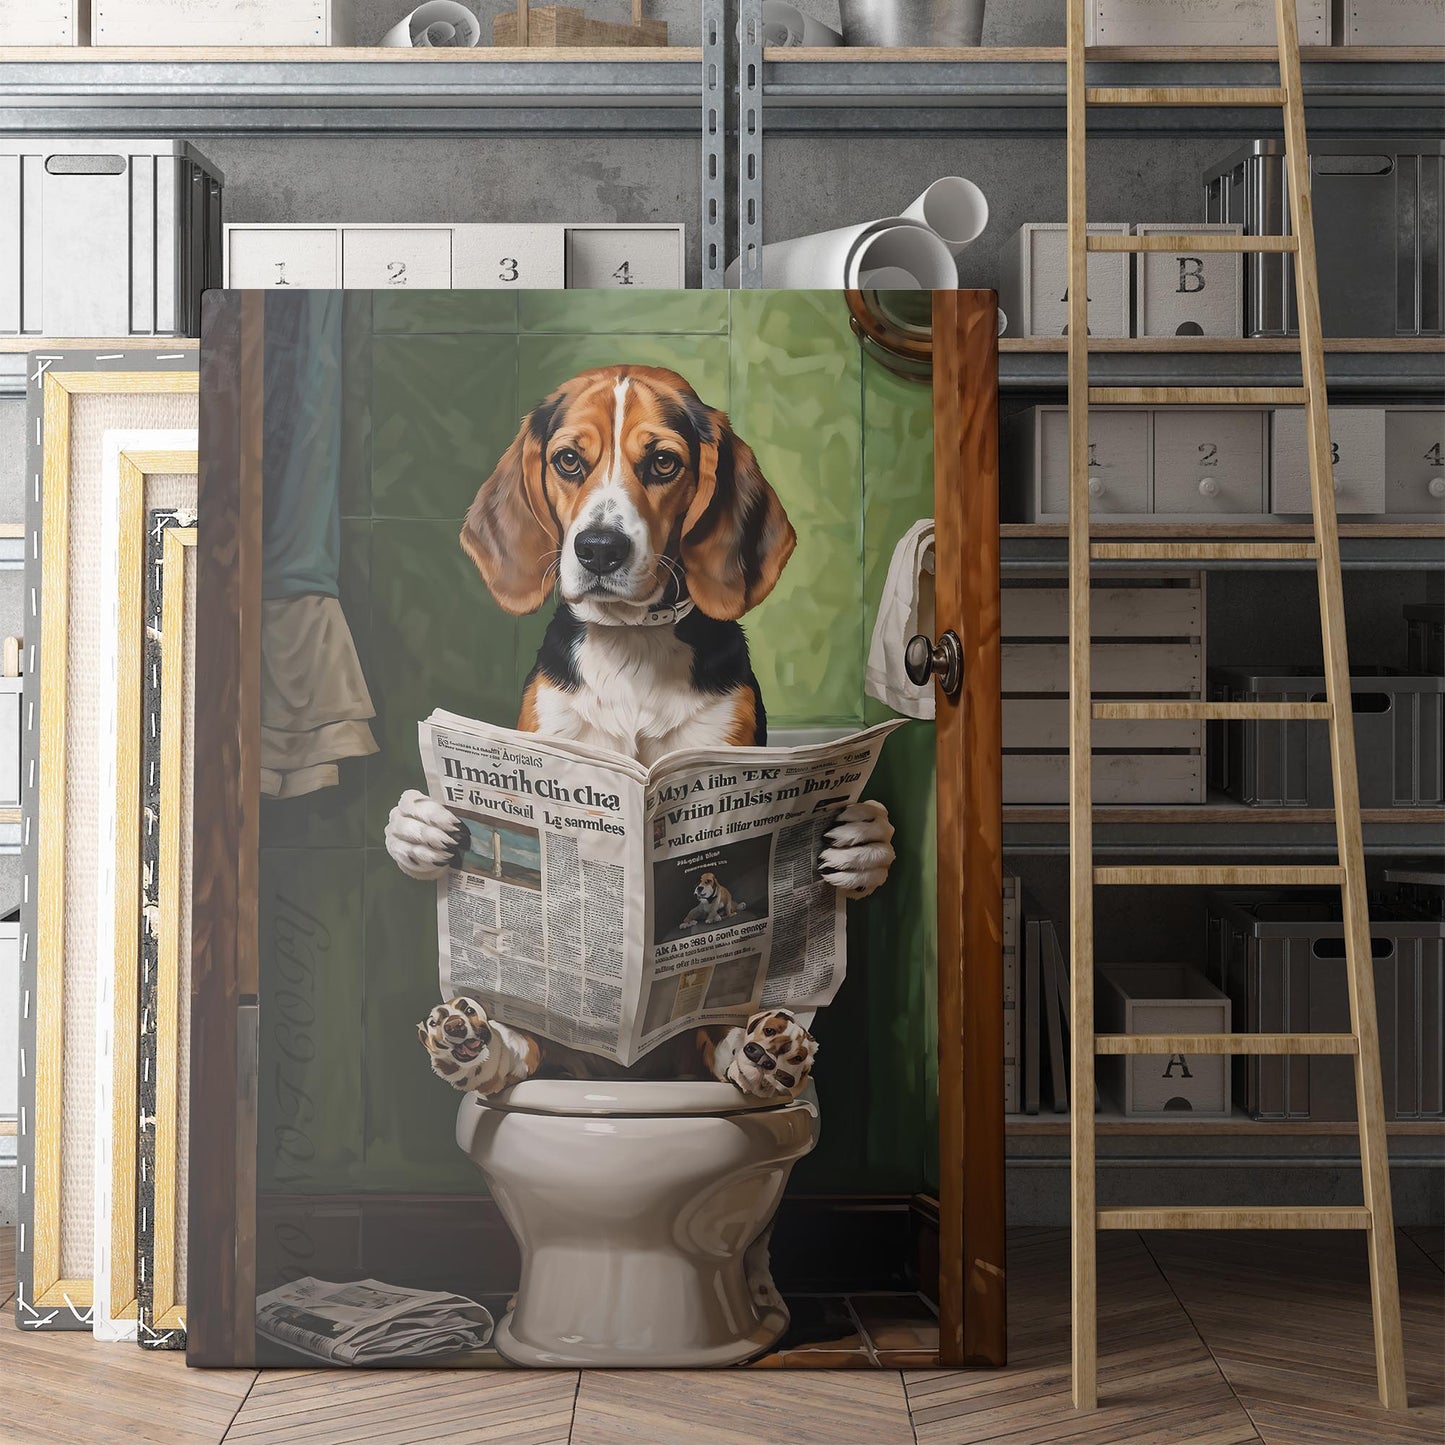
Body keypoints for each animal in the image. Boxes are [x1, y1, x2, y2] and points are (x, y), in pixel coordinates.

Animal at [390, 367, 895, 1098]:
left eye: (663, 463)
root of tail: (624, 1071)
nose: (599, 549)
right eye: (568, 461)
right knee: (526, 1052)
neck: (631, 642)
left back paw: (763, 1054)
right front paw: (420, 829)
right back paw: (474, 1043)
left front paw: (859, 846)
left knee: (717, 1042)